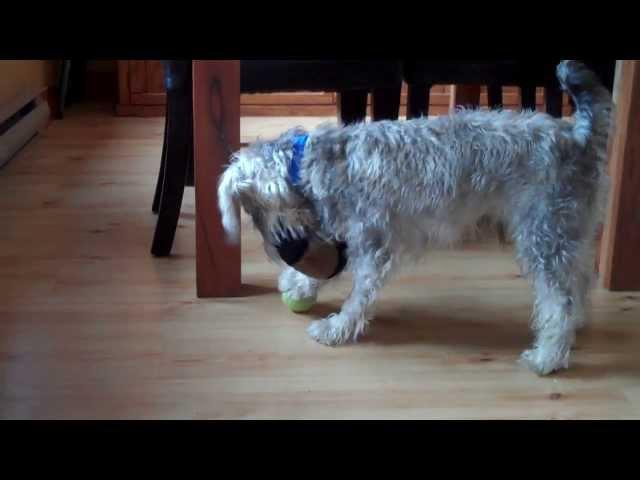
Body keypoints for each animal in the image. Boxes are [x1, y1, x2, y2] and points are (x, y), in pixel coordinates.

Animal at [218, 60, 612, 376]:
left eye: (254, 210)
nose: (284, 251)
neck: (313, 161)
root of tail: (579, 136)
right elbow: (325, 266)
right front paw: (299, 286)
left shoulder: (372, 245)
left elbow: (358, 294)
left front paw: (337, 328)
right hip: (568, 232)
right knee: (578, 283)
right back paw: (576, 327)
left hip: (543, 236)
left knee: (559, 301)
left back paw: (548, 357)